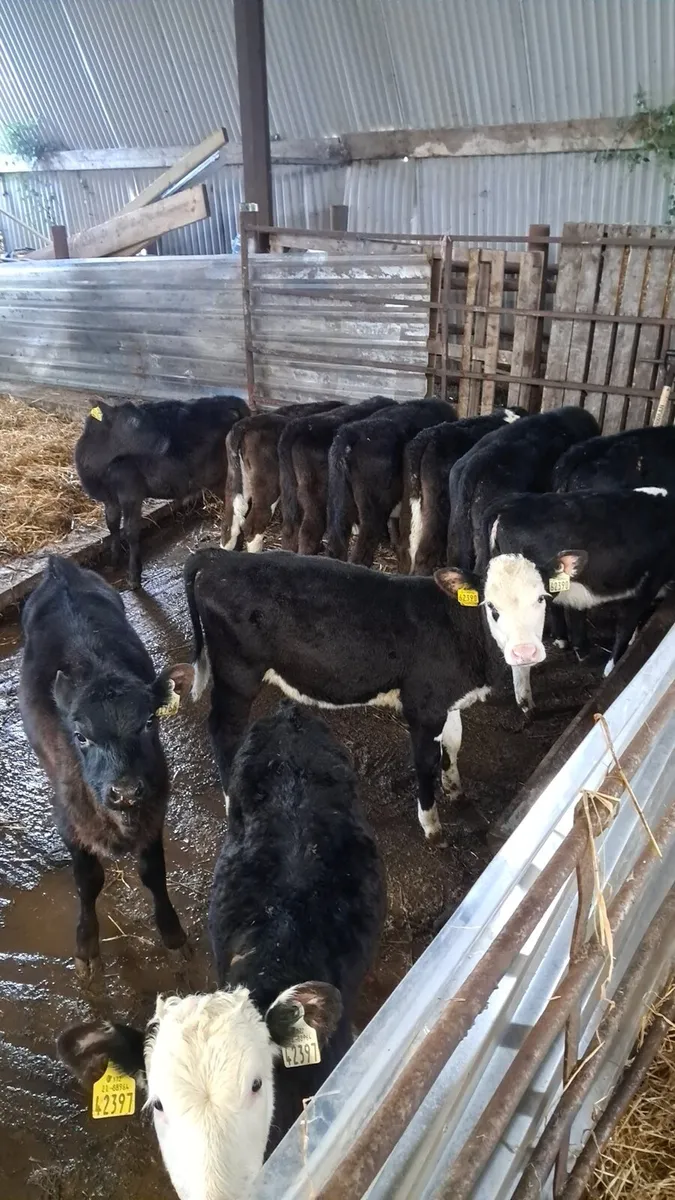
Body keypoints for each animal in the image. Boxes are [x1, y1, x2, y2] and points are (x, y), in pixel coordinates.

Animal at [19, 556, 191, 977]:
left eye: (149, 722)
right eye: (80, 736)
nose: (125, 790)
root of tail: (58, 567)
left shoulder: (154, 808)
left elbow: (153, 873)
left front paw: (173, 936)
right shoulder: (68, 819)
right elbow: (88, 880)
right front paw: (86, 946)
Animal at [75, 394, 249, 588]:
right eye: (132, 421)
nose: (165, 443)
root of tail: (231, 400)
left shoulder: (131, 493)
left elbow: (130, 530)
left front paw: (134, 576)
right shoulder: (109, 498)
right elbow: (112, 525)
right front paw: (114, 562)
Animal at [183, 547, 552, 845]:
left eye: (542, 599)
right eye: (492, 606)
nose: (524, 652)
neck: (457, 628)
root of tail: (223, 558)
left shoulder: (447, 700)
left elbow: (453, 743)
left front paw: (456, 792)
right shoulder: (422, 708)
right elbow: (426, 762)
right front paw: (432, 826)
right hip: (236, 676)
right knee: (222, 731)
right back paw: (231, 800)